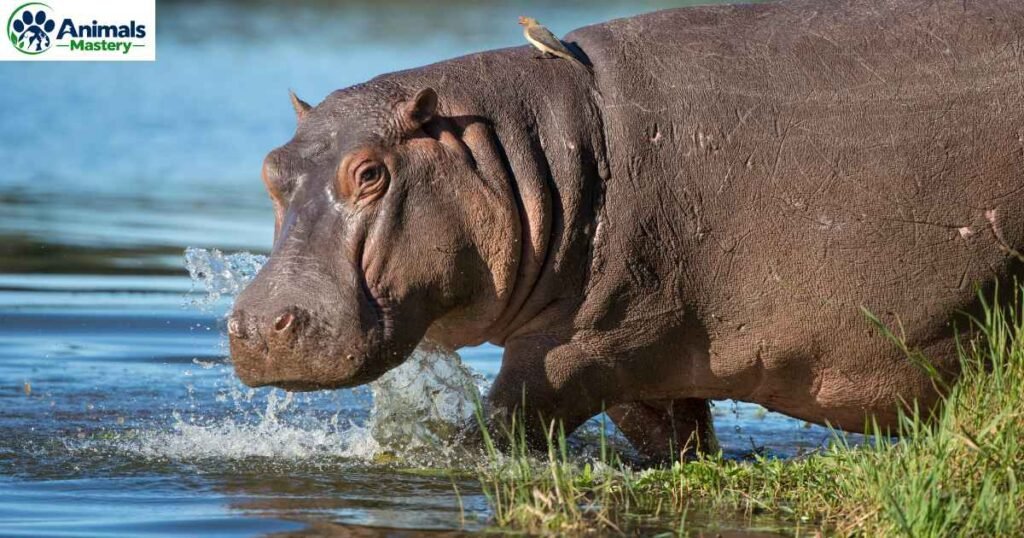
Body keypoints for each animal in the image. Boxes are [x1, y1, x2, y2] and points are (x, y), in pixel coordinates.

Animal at [228, 0, 1024, 459]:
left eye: (369, 173)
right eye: (270, 167)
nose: (262, 324)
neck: (521, 150)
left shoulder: (585, 345)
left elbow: (500, 424)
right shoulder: (650, 357)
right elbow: (675, 438)